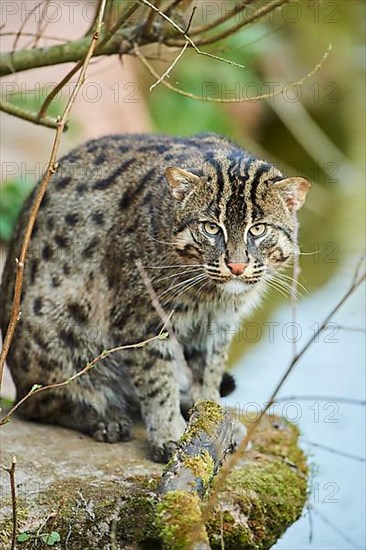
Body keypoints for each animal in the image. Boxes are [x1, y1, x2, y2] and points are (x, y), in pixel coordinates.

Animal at [0, 134, 310, 462]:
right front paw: (170, 434)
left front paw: (210, 417)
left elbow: (209, 374)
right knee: (40, 400)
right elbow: (157, 381)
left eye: (259, 229)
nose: (236, 266)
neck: (211, 296)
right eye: (211, 228)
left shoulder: (216, 327)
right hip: (55, 331)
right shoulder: (142, 321)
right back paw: (103, 415)